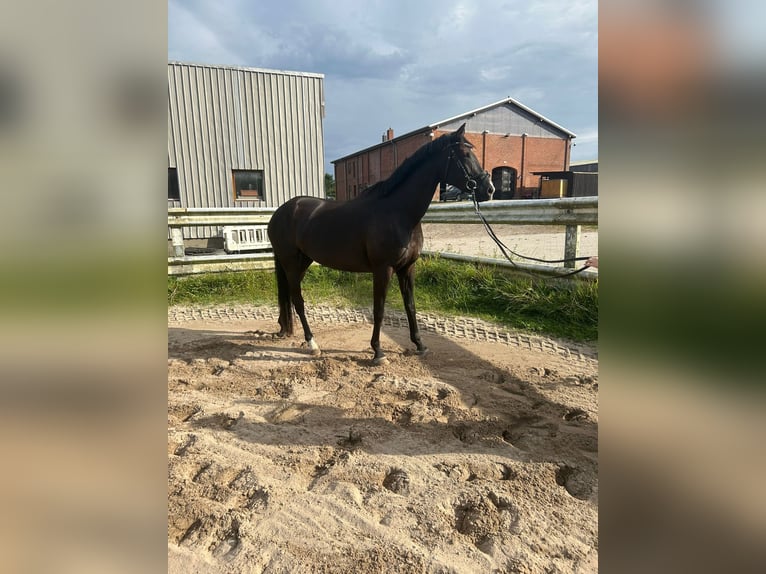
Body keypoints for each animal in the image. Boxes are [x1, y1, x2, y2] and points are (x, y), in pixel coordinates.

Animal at [268, 125, 498, 364]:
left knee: (291, 296)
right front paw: (378, 352)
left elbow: (410, 306)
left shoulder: (407, 268)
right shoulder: (383, 269)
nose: (489, 189)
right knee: (298, 299)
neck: (398, 212)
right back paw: (312, 344)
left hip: (302, 262)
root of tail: (281, 212)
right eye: (465, 154)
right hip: (291, 263)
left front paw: (420, 345)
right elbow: (379, 310)